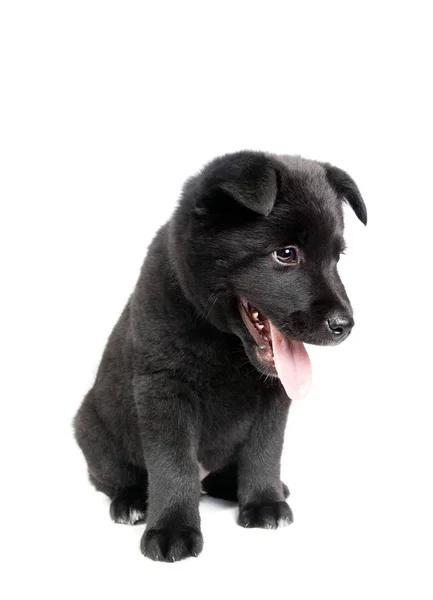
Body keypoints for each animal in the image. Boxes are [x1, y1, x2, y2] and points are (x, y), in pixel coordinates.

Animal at [73, 150, 364, 564]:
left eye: (337, 257)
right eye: (285, 254)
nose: (345, 325)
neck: (225, 344)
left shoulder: (273, 397)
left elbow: (265, 450)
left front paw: (264, 502)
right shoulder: (164, 392)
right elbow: (172, 464)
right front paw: (172, 528)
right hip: (91, 428)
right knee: (117, 477)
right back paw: (131, 503)